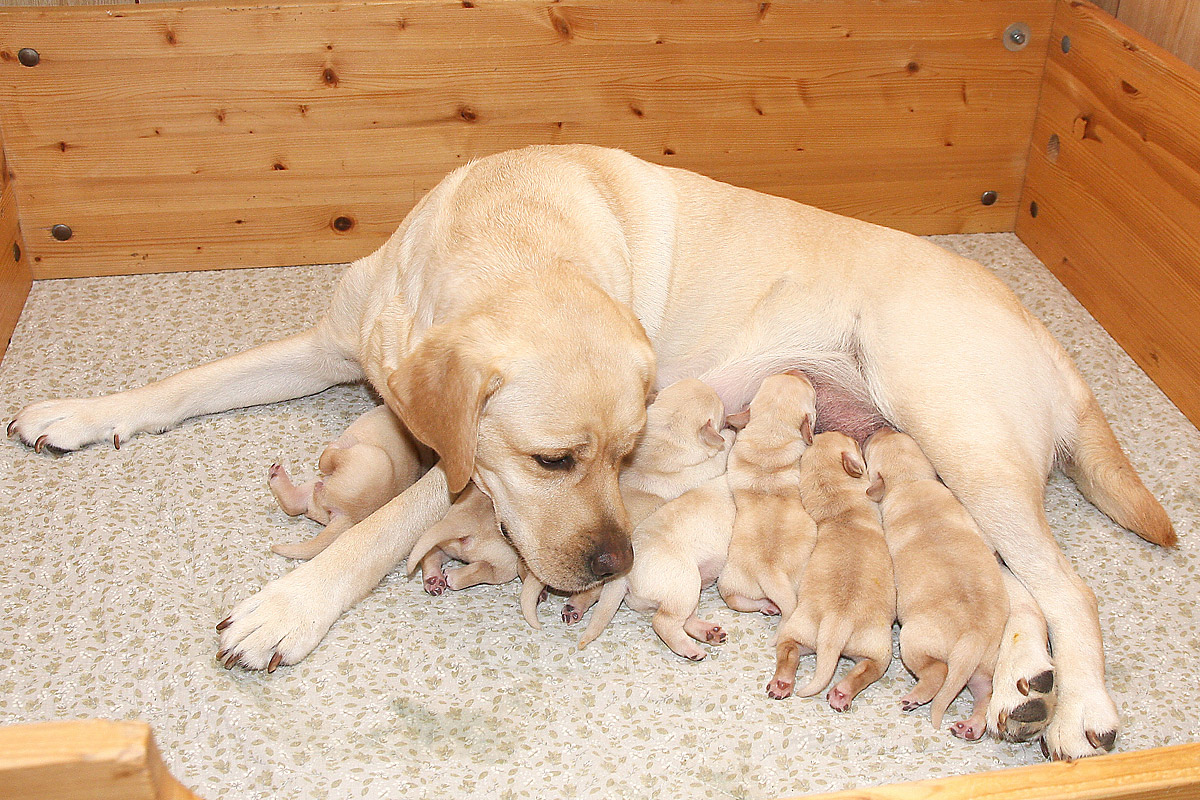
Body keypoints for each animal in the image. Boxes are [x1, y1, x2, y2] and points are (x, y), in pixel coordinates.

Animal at [268, 402, 427, 561]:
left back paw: (337, 445)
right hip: (317, 487)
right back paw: (275, 474)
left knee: (327, 459)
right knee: (293, 503)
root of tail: (348, 516)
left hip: (362, 457)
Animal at [715, 371, 820, 623]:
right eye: (810, 390)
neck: (771, 432)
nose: (798, 370)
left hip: (728, 583)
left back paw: (768, 606)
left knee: (739, 601)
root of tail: (769, 571)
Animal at [772, 434, 897, 710]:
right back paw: (842, 693)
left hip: (798, 630)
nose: (858, 438)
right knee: (865, 671)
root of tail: (836, 621)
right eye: (853, 442)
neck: (840, 513)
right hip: (879, 650)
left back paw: (781, 684)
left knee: (788, 653)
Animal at [868, 429, 1008, 743]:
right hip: (983, 665)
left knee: (937, 672)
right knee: (984, 693)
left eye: (869, 448)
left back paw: (915, 697)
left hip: (913, 641)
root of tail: (974, 635)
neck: (910, 480)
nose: (879, 429)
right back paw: (971, 726)